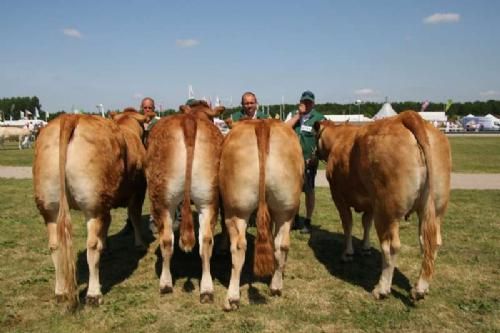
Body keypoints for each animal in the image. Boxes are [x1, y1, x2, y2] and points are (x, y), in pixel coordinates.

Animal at [32, 109, 146, 306]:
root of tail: (71, 117)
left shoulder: (107, 204)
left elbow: (108, 225)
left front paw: (107, 245)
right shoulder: (138, 190)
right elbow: (135, 216)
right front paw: (139, 244)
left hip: (49, 207)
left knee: (55, 246)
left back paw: (60, 291)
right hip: (93, 205)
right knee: (91, 246)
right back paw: (94, 294)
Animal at [146, 99, 225, 300]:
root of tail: (190, 121)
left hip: (162, 201)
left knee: (167, 240)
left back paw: (166, 283)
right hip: (208, 199)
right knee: (204, 241)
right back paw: (206, 289)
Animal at [220, 118, 304, 308]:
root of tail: (263, 124)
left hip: (237, 210)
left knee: (239, 247)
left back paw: (232, 298)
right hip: (286, 208)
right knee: (282, 244)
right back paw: (276, 286)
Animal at [316, 110, 454, 300]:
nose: (313, 154)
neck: (339, 139)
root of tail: (408, 116)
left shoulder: (339, 196)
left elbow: (348, 224)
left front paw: (348, 253)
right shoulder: (371, 203)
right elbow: (366, 223)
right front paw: (365, 248)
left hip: (387, 211)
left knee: (391, 247)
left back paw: (381, 289)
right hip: (434, 209)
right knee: (431, 243)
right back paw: (420, 288)